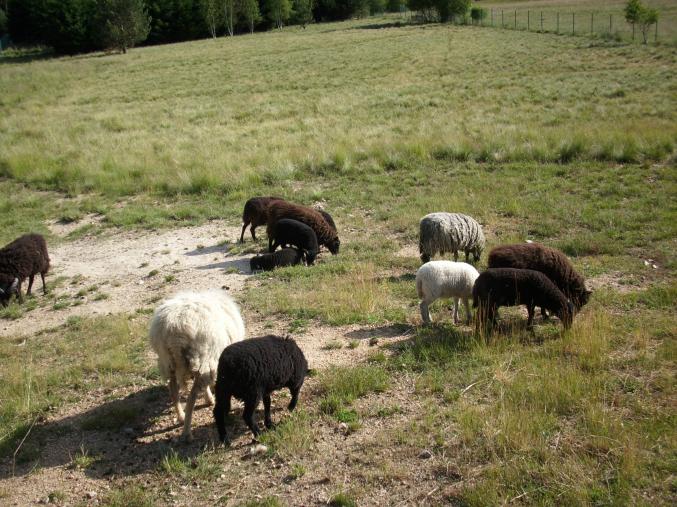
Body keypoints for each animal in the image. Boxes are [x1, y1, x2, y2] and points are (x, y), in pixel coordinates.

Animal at [149, 290, 245, 441]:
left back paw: (181, 416)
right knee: (191, 397)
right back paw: (187, 432)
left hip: (168, 362)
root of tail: (174, 332)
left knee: (173, 390)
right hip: (203, 358)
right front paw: (210, 398)